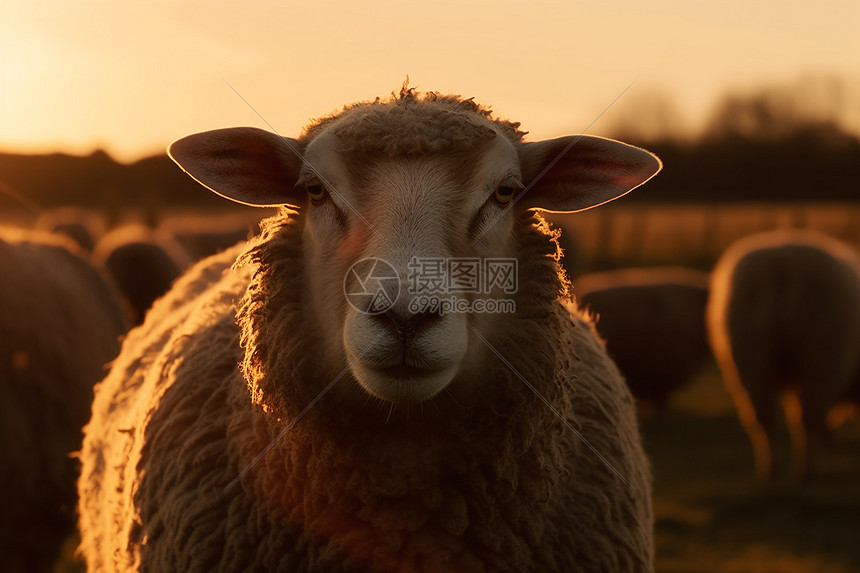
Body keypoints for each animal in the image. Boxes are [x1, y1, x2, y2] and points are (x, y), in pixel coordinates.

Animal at [704, 226, 860, 480]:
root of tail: (781, 266)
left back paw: (770, 470)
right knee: (809, 417)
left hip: (750, 356)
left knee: (764, 417)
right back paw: (806, 472)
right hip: (819, 354)